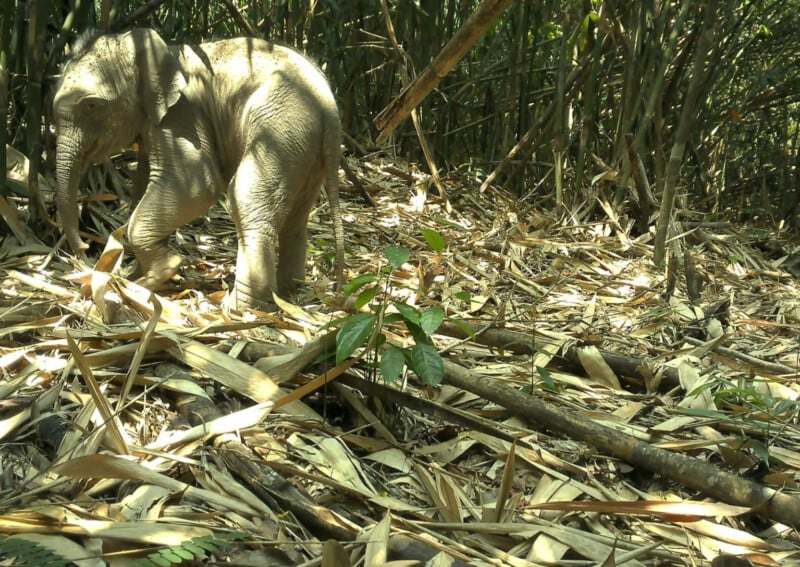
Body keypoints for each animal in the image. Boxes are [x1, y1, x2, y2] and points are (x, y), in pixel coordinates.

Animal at [53, 28, 344, 311]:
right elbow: (144, 186)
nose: (83, 249)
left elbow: (197, 187)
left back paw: (238, 307)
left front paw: (158, 274)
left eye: (91, 105)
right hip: (304, 146)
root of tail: (329, 103)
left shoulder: (182, 117)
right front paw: (134, 277)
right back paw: (286, 296)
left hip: (280, 128)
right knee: (296, 215)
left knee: (245, 196)